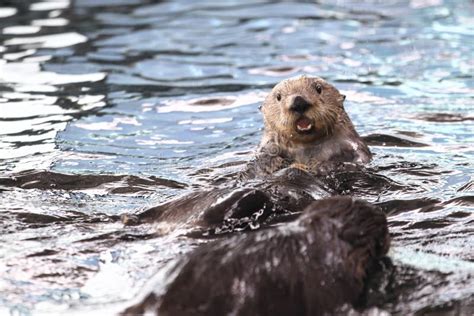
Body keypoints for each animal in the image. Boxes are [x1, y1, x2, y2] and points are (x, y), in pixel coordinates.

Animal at [243, 74, 372, 178]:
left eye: (318, 88)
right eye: (278, 96)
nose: (298, 102)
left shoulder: (352, 144)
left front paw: (324, 166)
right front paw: (269, 162)